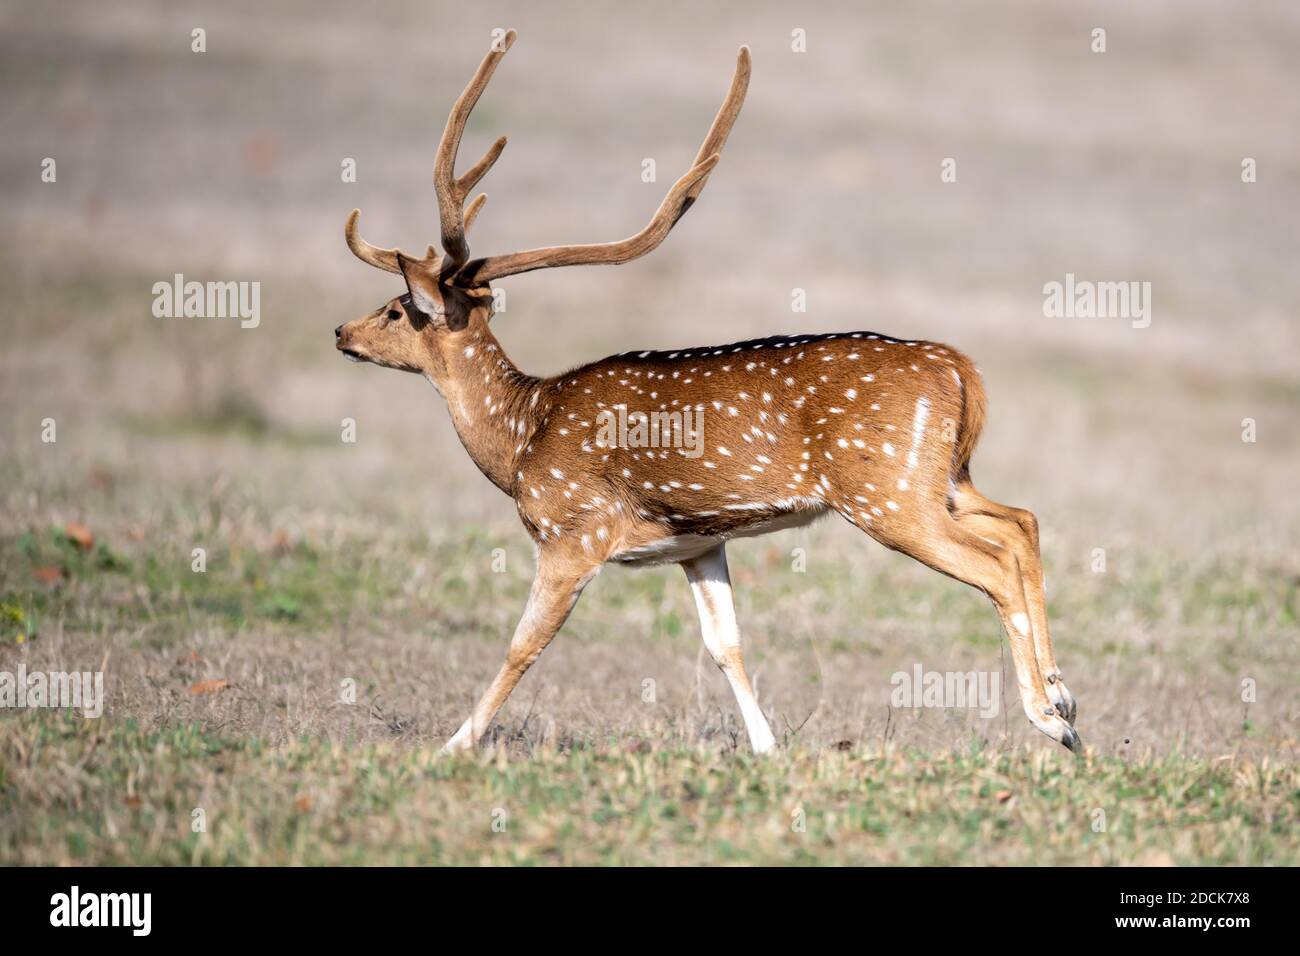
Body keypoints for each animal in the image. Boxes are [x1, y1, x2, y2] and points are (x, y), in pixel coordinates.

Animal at [335, 31, 1081, 755]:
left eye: (398, 309)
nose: (342, 331)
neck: (520, 440)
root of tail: (958, 367)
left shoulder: (573, 529)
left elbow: (525, 644)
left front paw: (453, 745)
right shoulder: (697, 542)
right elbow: (726, 645)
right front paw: (767, 749)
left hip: (886, 492)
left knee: (992, 561)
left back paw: (1050, 719)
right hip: (943, 477)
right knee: (1022, 522)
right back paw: (1064, 696)